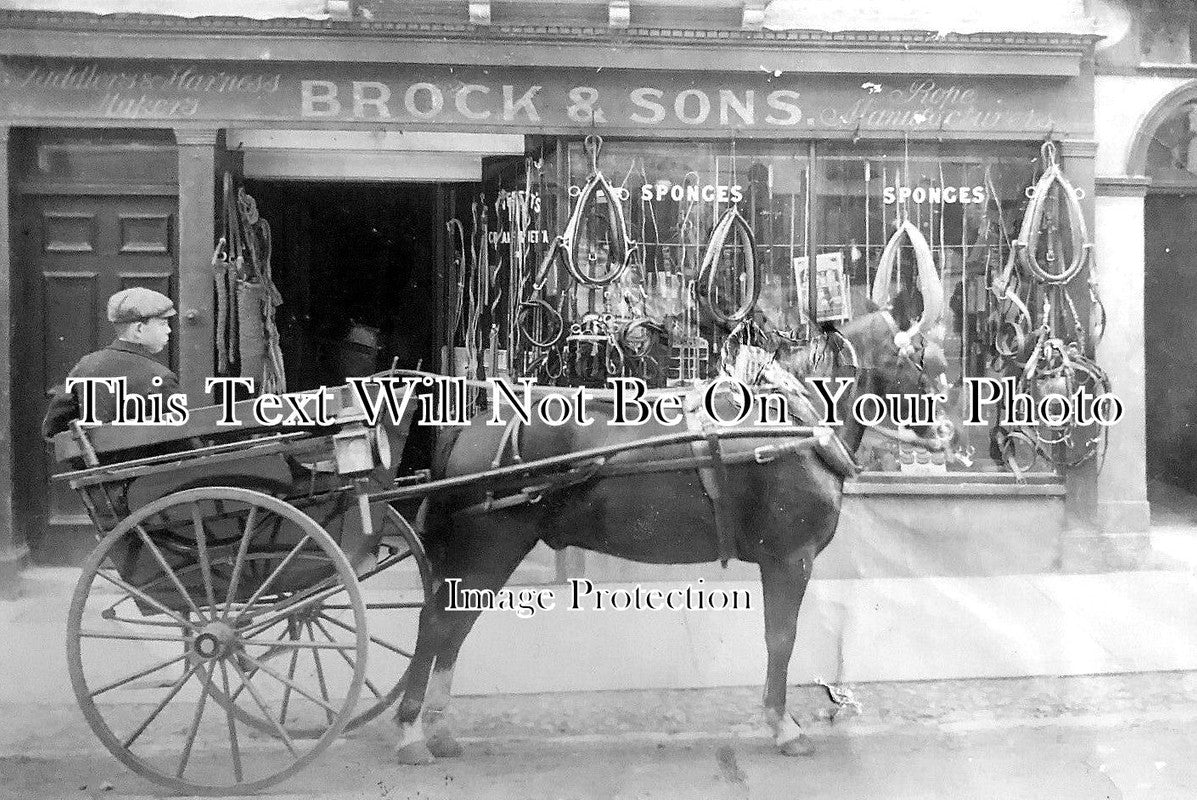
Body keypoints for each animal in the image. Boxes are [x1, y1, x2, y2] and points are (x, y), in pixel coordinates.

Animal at [387, 306, 957, 761]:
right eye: (918, 359)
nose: (946, 432)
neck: (797, 423)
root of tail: (473, 422)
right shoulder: (789, 558)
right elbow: (781, 637)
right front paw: (783, 727)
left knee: (451, 623)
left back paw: (434, 728)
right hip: (492, 544)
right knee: (440, 622)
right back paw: (412, 732)